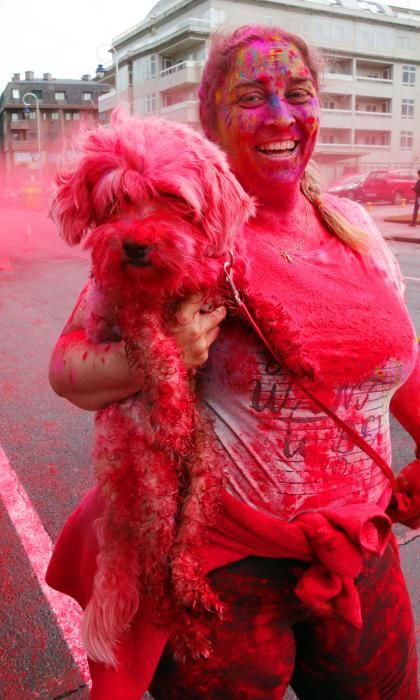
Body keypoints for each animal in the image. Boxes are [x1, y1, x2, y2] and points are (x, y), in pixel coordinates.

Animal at [52, 116, 256, 668]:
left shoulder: (220, 286)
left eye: (171, 197)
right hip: (154, 486)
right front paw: (169, 409)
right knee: (155, 579)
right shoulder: (129, 308)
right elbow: (158, 349)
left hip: (207, 471)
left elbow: (254, 301)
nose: (134, 245)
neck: (166, 282)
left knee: (185, 551)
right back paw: (185, 635)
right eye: (117, 201)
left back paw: (195, 593)